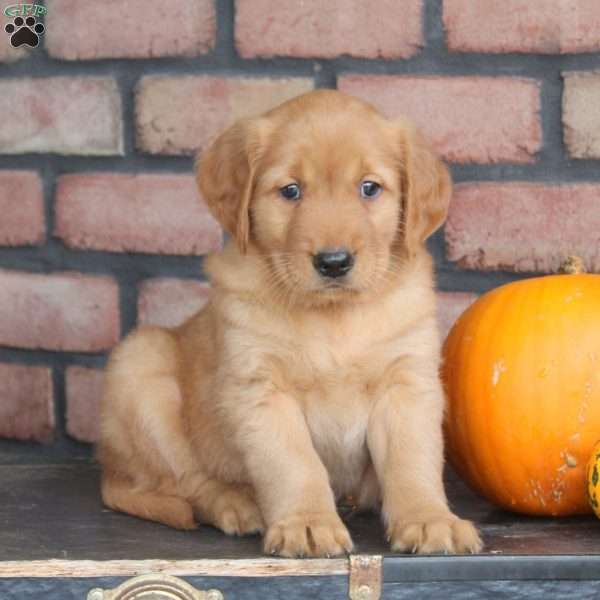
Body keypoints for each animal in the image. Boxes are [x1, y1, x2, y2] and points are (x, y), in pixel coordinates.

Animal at [98, 89, 482, 556]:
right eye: (291, 191)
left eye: (369, 188)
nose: (333, 262)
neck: (333, 317)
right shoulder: (260, 389)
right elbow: (293, 463)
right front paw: (308, 524)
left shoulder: (406, 383)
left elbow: (413, 461)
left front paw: (429, 520)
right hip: (139, 364)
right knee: (186, 483)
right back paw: (236, 503)